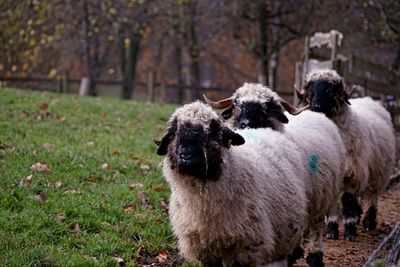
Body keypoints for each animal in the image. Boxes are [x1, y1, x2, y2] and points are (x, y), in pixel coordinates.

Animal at [205, 82, 346, 266]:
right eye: (237, 104)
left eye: (267, 107)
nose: (245, 123)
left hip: (320, 197)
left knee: (315, 227)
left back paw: (314, 255)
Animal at [296, 69, 396, 243]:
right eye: (311, 89)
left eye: (330, 90)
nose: (317, 106)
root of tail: (369, 99)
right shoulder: (333, 176)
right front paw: (331, 230)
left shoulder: (352, 173)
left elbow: (348, 202)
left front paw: (349, 232)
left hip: (378, 173)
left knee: (372, 197)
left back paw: (369, 223)